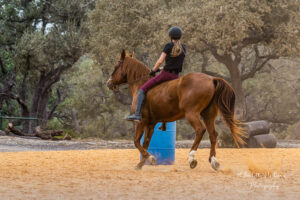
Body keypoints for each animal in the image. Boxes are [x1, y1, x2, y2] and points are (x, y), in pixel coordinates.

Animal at [106, 49, 245, 170]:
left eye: (116, 65)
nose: (109, 83)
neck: (140, 83)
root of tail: (211, 79)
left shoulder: (140, 122)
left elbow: (136, 142)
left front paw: (150, 158)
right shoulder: (151, 124)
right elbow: (145, 143)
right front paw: (141, 164)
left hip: (192, 114)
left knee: (200, 130)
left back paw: (192, 158)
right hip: (208, 115)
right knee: (213, 135)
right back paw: (213, 161)